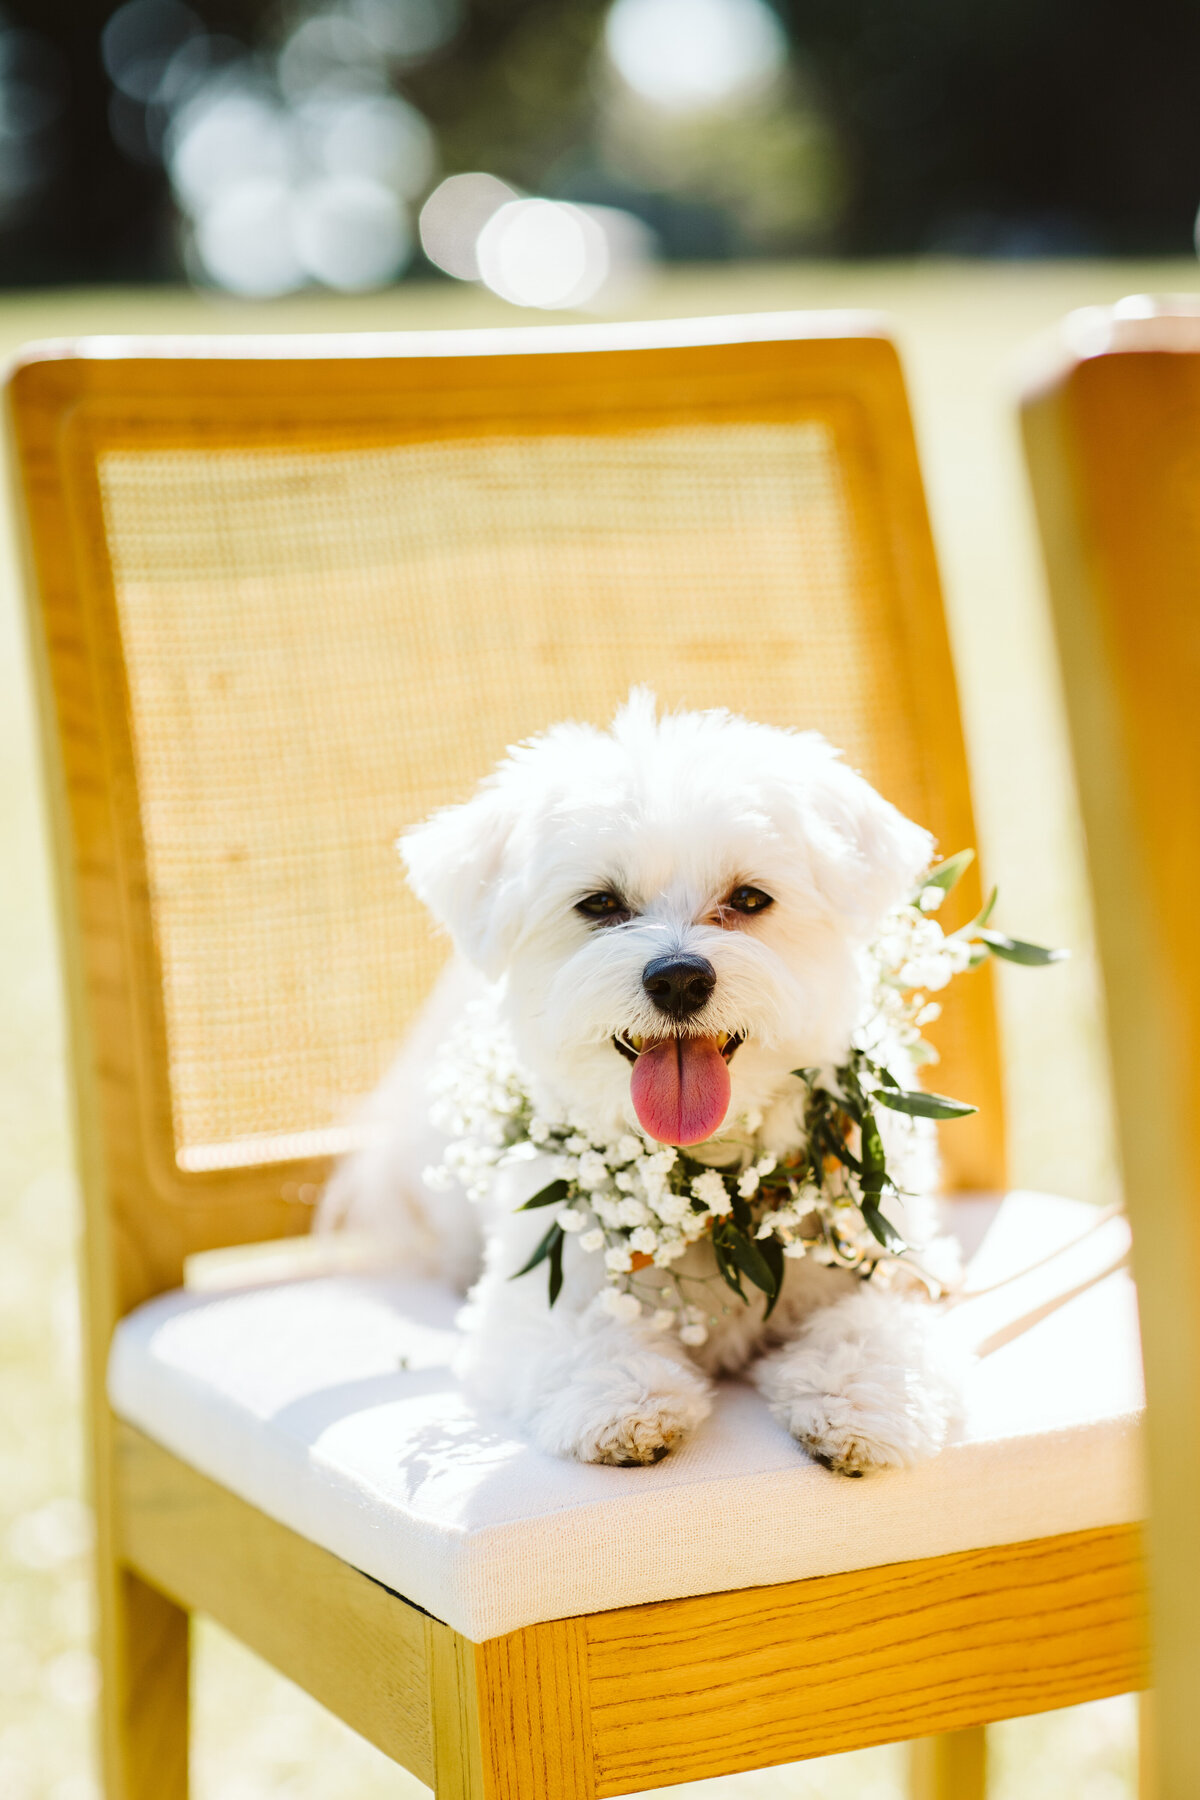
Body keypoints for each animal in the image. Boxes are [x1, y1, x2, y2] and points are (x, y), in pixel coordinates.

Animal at [323, 694, 971, 1468]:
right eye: (600, 904)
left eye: (750, 897)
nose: (680, 977)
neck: (708, 1187)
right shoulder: (536, 1294)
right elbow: (584, 1336)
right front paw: (626, 1399)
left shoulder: (902, 1266)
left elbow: (875, 1324)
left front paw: (863, 1401)